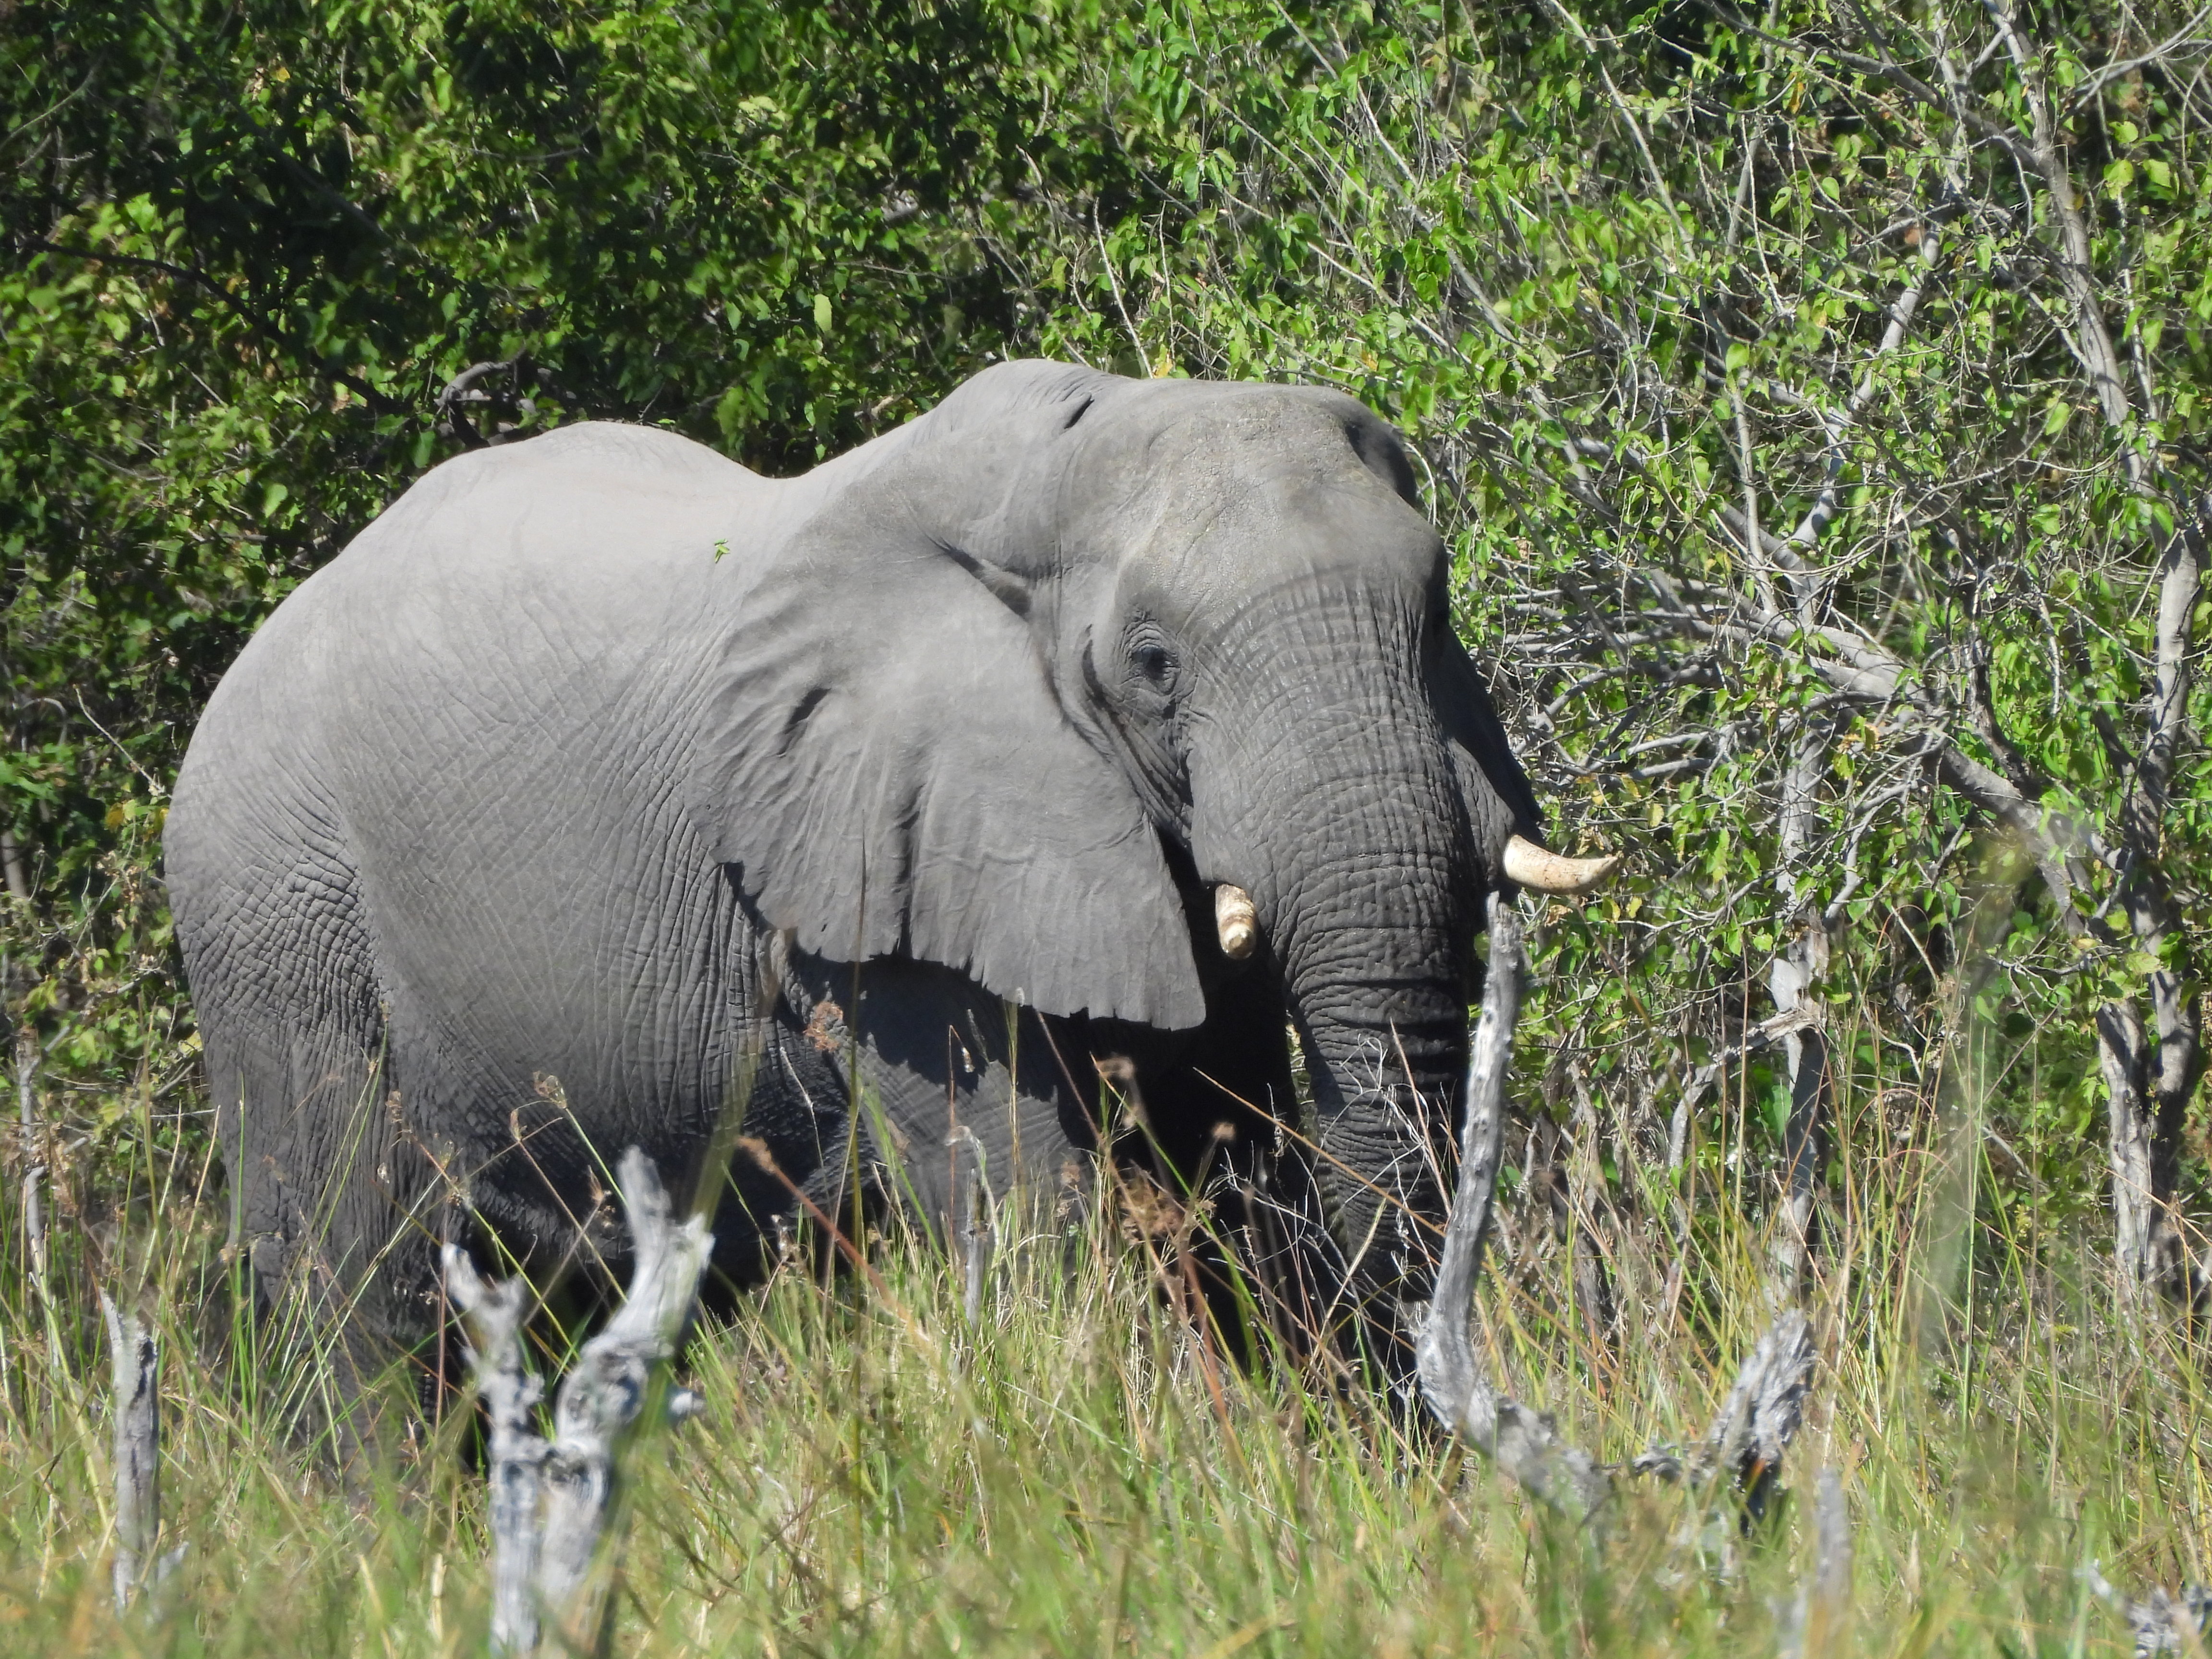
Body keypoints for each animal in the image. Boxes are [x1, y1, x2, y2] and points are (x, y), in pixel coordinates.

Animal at [164, 359, 1610, 1405]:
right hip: (275, 919)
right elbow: (1026, 1199)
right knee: (359, 1292)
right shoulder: (884, 872)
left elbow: (1220, 1137)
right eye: (1154, 665)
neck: (1069, 459)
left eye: (1436, 612)